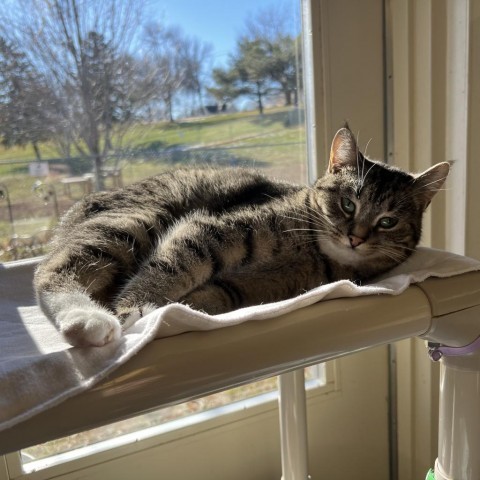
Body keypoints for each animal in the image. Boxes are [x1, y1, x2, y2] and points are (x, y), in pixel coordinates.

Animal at [34, 125, 450, 346]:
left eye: (388, 222)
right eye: (348, 203)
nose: (356, 237)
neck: (317, 255)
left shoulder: (241, 289)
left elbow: (207, 294)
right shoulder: (207, 231)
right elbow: (169, 271)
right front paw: (133, 310)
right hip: (133, 222)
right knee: (48, 274)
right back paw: (89, 320)